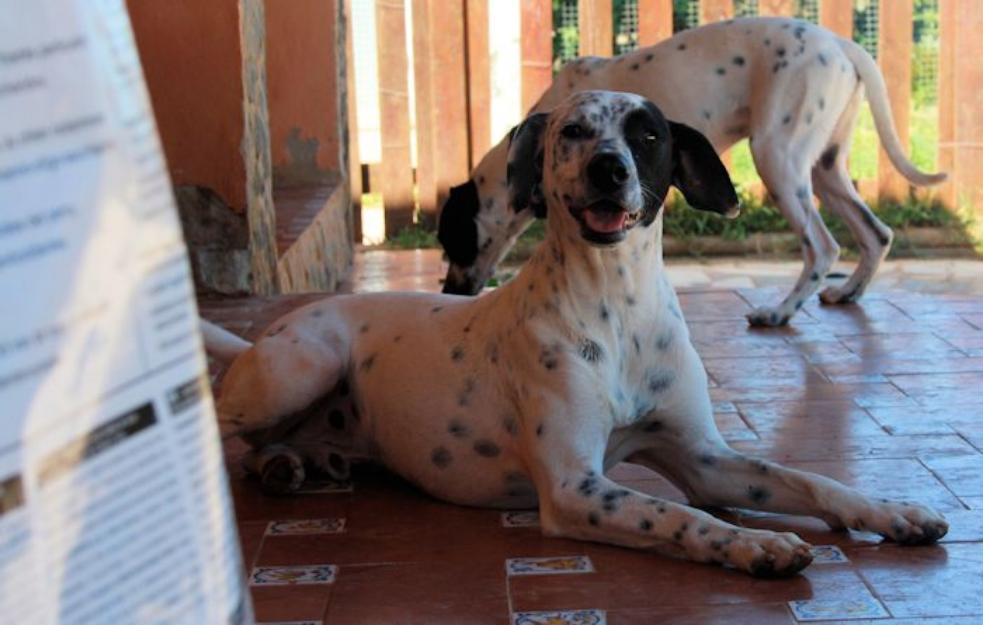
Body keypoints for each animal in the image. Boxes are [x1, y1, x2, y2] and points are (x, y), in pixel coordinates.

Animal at [206, 91, 944, 576]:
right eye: (573, 132)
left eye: (648, 137)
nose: (608, 168)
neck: (617, 302)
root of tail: (261, 340)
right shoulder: (572, 486)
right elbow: (677, 515)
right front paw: (753, 544)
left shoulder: (702, 458)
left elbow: (807, 478)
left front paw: (891, 511)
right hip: (300, 368)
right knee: (219, 424)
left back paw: (292, 462)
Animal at [438, 15, 944, 326]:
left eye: (448, 241)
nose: (448, 292)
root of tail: (841, 43)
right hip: (825, 168)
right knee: (877, 233)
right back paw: (847, 293)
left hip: (777, 158)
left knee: (822, 247)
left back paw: (779, 313)